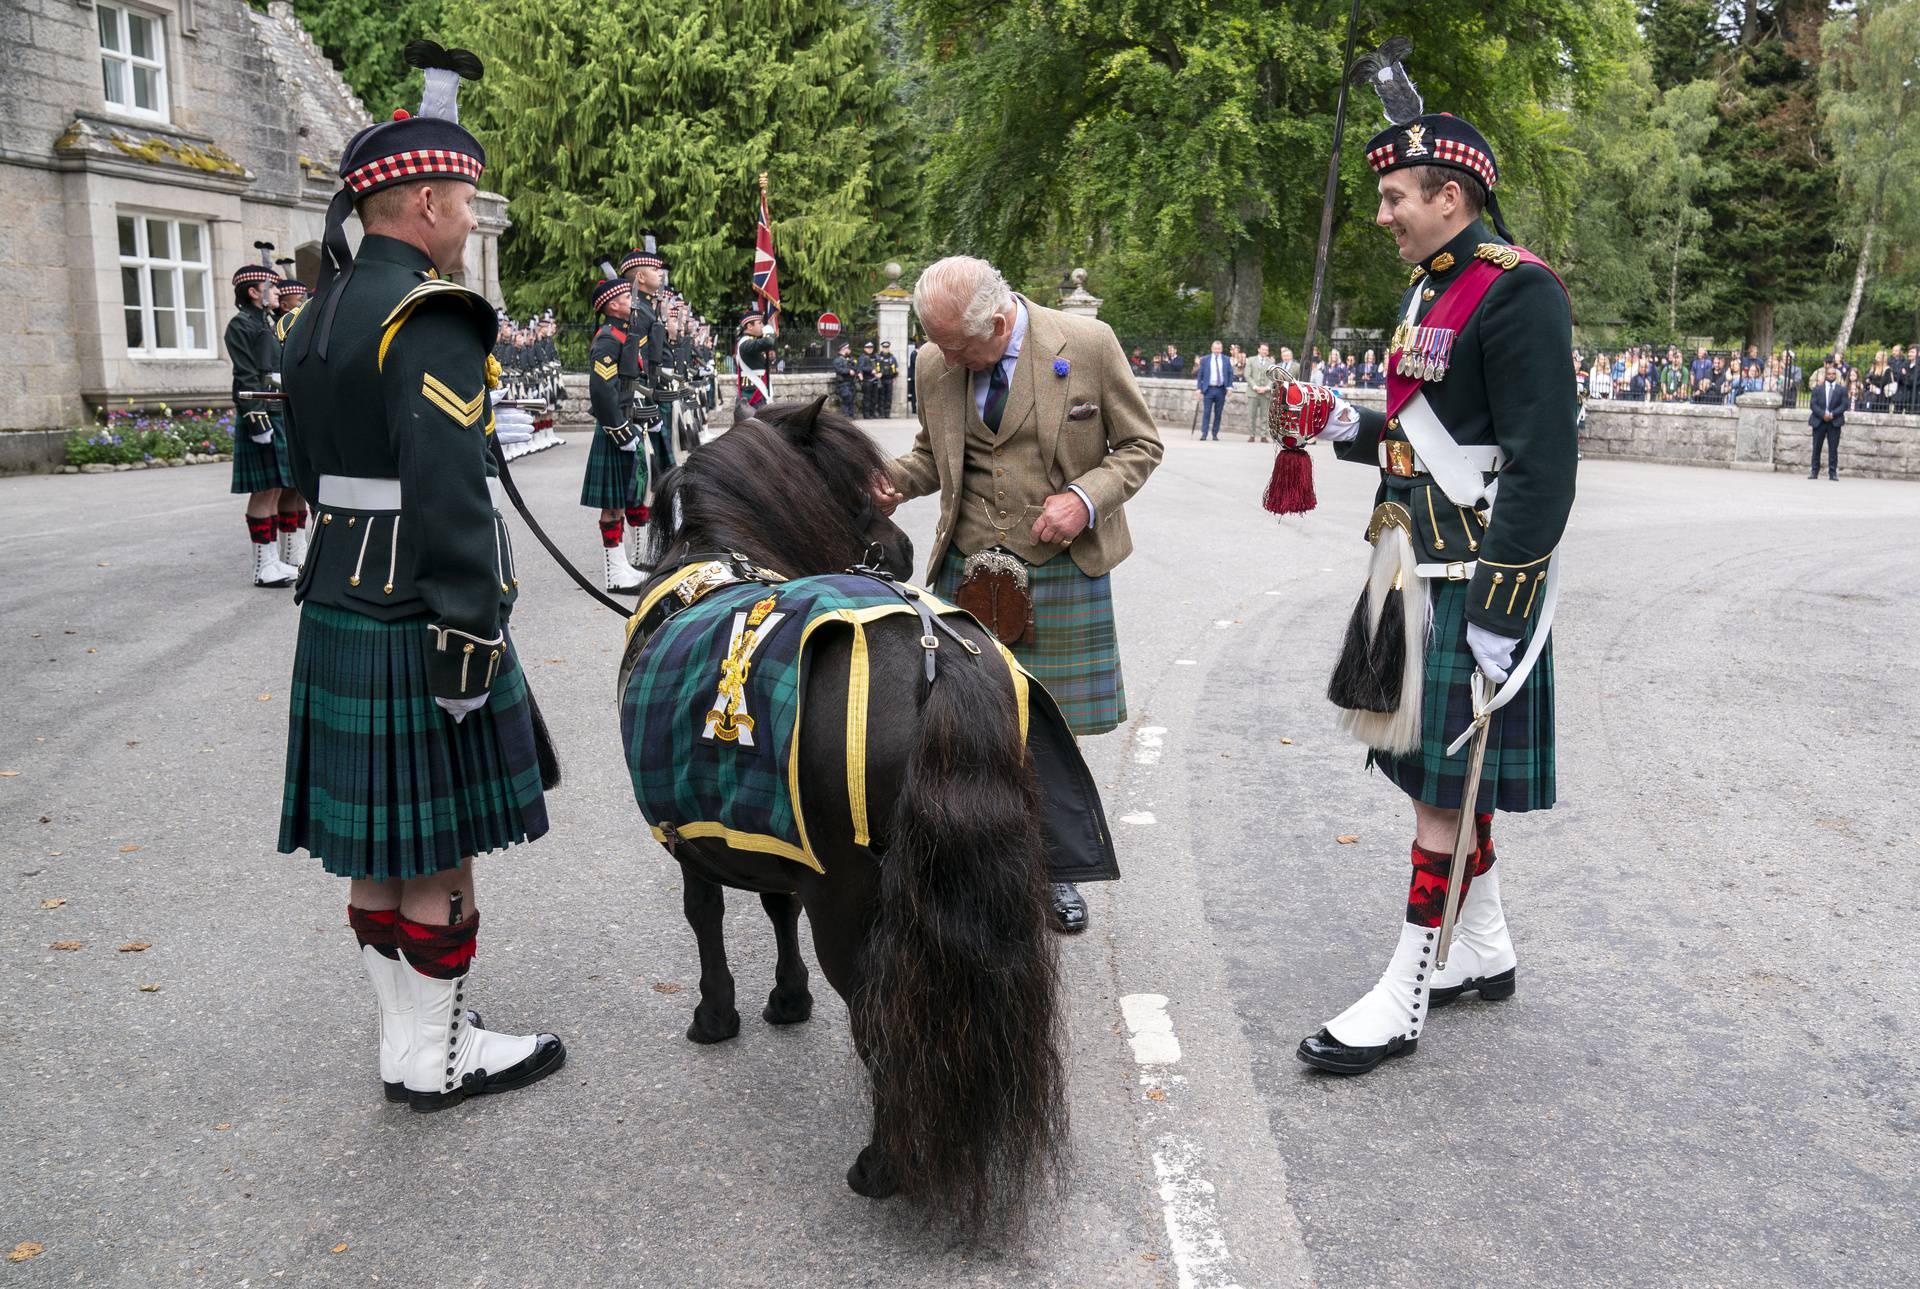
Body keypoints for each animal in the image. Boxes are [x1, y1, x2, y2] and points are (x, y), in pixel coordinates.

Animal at [622, 397, 1059, 1237]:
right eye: (854, 481)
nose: (900, 547)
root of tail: (935, 657)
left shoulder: (698, 841)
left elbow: (707, 914)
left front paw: (715, 1012)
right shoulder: (762, 821)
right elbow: (773, 904)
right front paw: (787, 999)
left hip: (855, 903)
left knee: (883, 1021)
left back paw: (883, 1165)